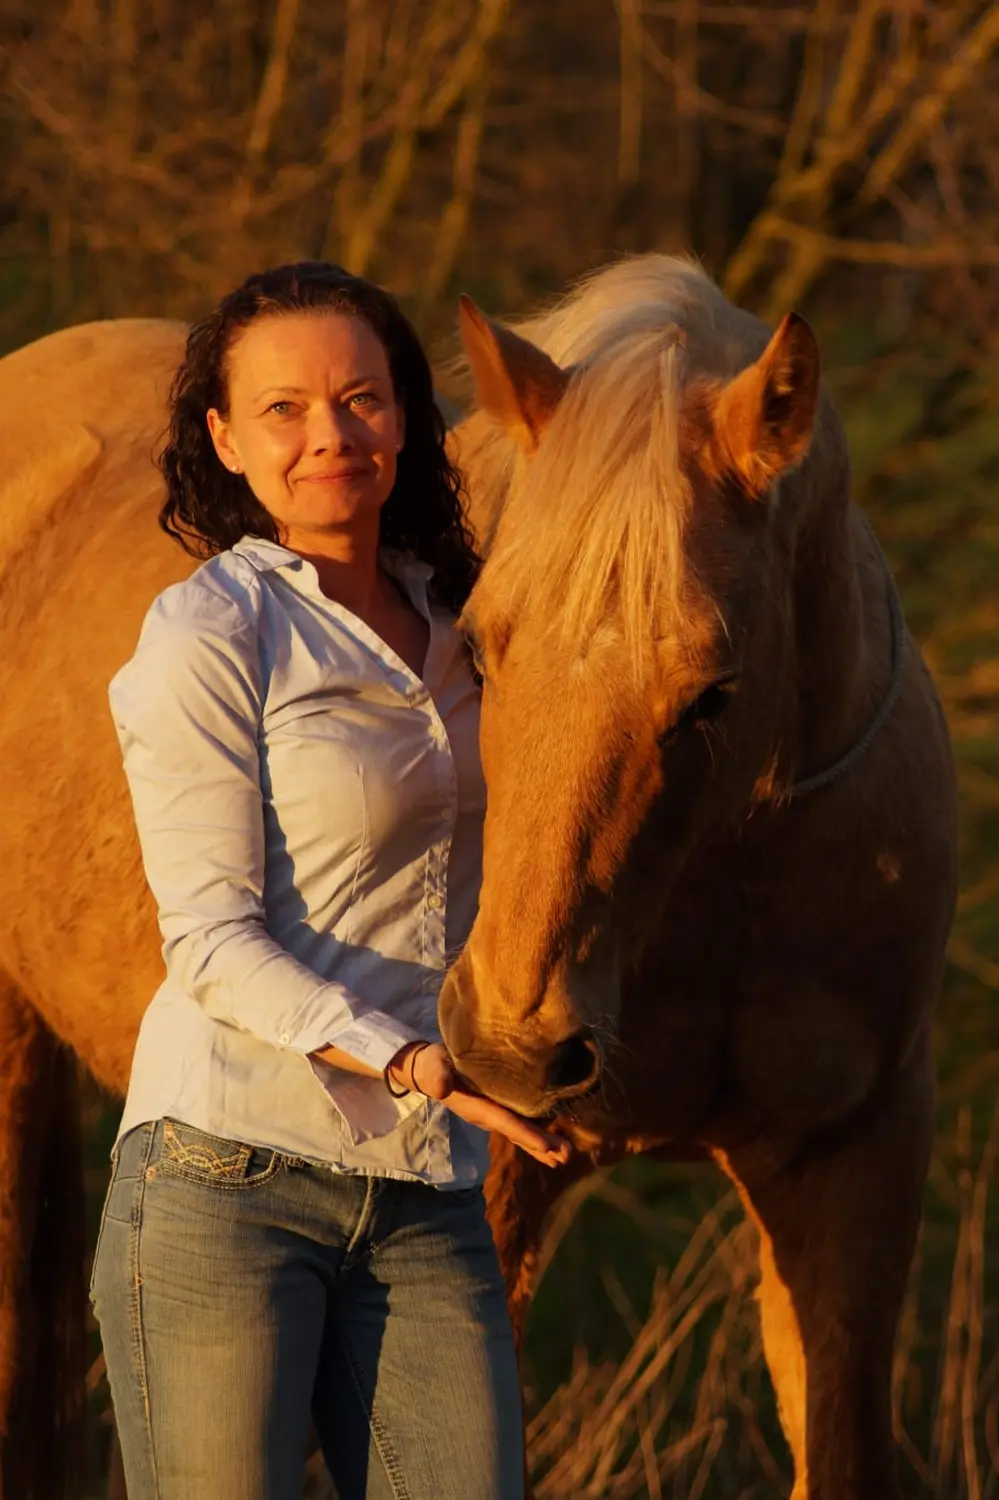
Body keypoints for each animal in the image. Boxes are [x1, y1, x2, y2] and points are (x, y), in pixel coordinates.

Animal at [0, 258, 948, 1500]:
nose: (509, 1047)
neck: (723, 893)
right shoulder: (495, 1198)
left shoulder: (854, 1166)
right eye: (485, 647)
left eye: (712, 692)